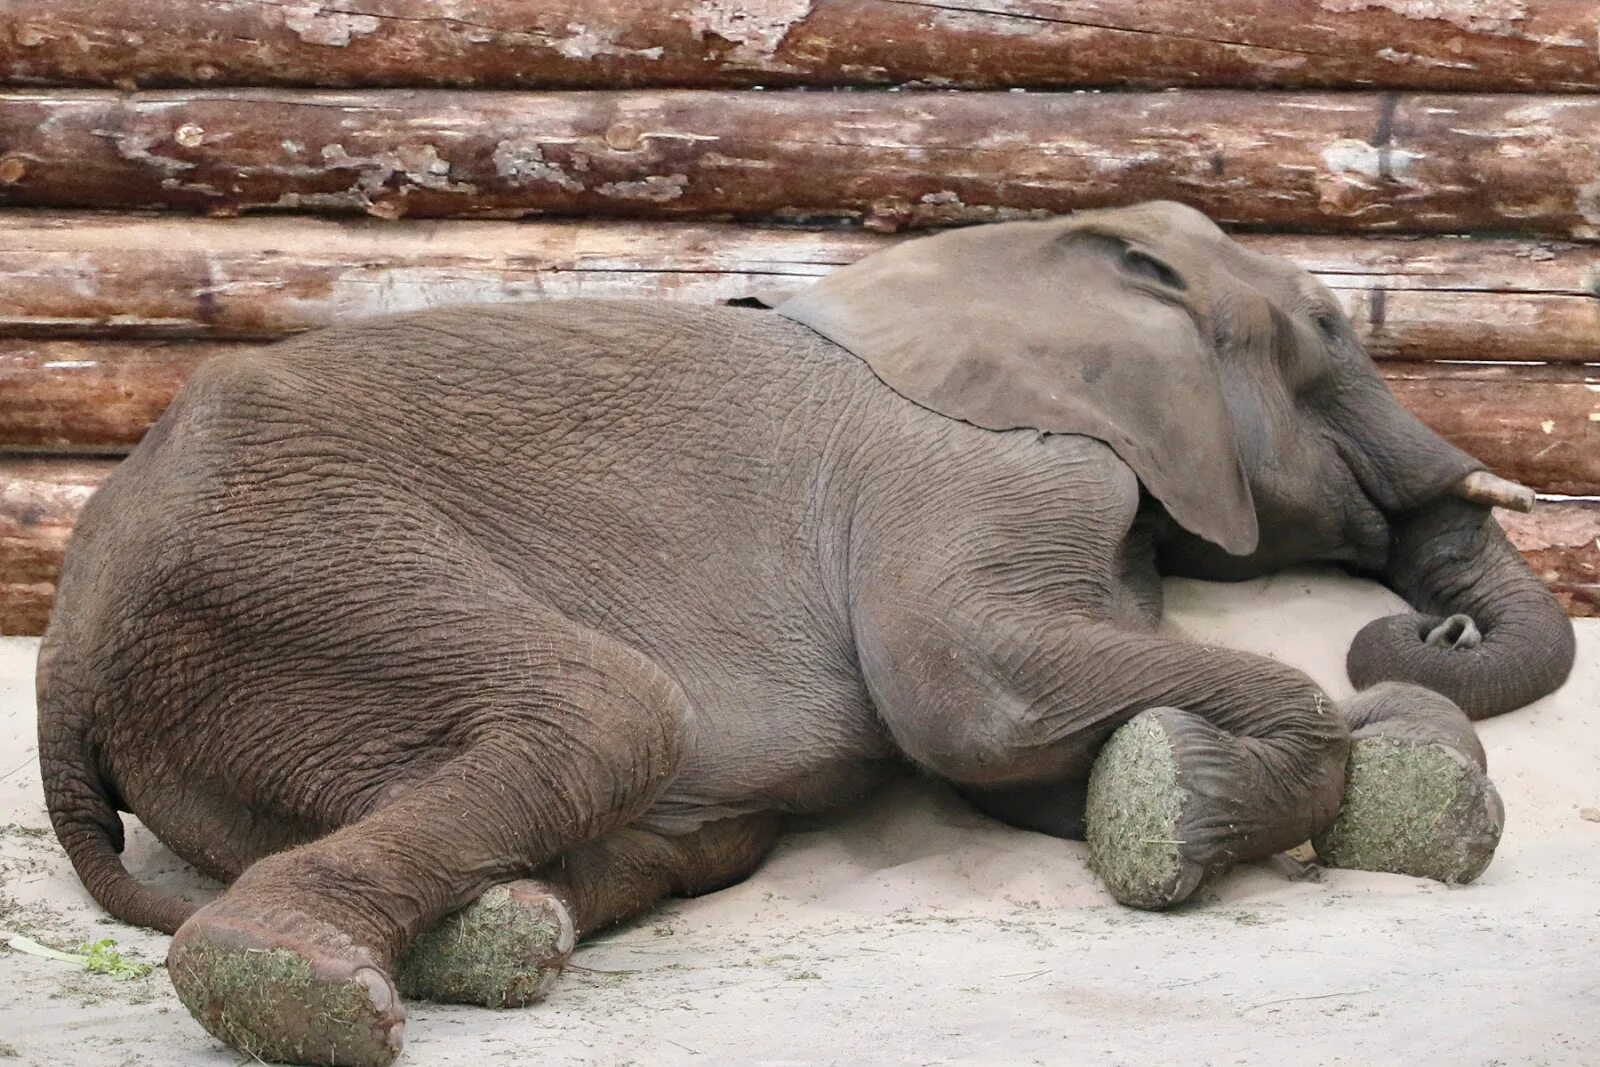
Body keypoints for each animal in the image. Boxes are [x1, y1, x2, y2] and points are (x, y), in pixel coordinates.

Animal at [34, 202, 1574, 1067]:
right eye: (1327, 328)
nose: (1423, 617)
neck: (1025, 259)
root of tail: (57, 657)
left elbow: (1021, 767)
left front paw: (1179, 789)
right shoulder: (983, 469)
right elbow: (969, 696)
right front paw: (1218, 795)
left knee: (686, 822)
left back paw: (508, 934)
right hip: (290, 571)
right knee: (617, 711)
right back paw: (291, 986)